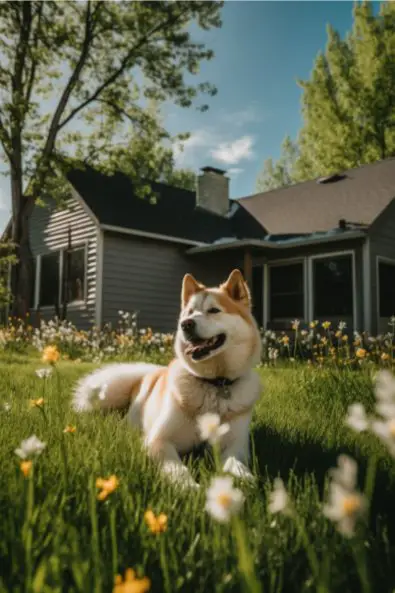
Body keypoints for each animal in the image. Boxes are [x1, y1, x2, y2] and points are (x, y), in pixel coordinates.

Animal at [72, 270, 264, 488]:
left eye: (214, 310)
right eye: (189, 312)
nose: (186, 324)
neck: (215, 383)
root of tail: (153, 372)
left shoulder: (235, 446)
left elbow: (236, 463)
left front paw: (246, 479)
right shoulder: (159, 440)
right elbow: (176, 468)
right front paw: (189, 487)